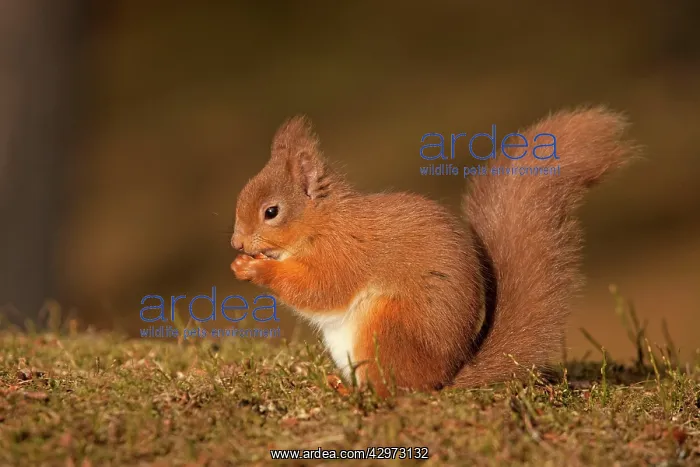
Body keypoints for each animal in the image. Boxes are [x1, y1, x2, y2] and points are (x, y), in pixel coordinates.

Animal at [230, 107, 636, 396]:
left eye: (271, 212)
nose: (236, 243)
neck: (321, 222)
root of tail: (443, 378)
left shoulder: (345, 253)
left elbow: (320, 289)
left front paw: (255, 269)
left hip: (387, 327)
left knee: (393, 391)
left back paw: (353, 394)